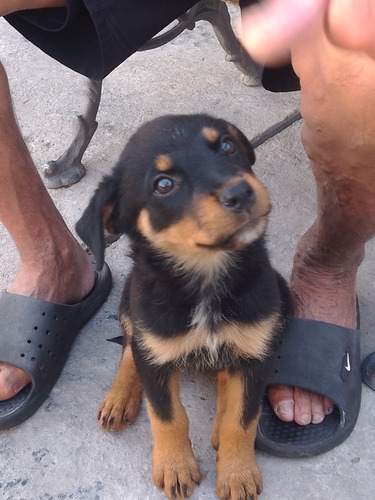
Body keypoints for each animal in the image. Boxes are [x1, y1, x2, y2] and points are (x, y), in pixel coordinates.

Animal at [76, 114, 292, 500]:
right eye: (164, 184)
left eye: (227, 146)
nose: (241, 193)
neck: (206, 280)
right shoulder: (155, 350)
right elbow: (168, 415)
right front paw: (175, 466)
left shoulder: (256, 355)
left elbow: (242, 418)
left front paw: (238, 473)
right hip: (131, 302)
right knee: (131, 347)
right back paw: (119, 398)